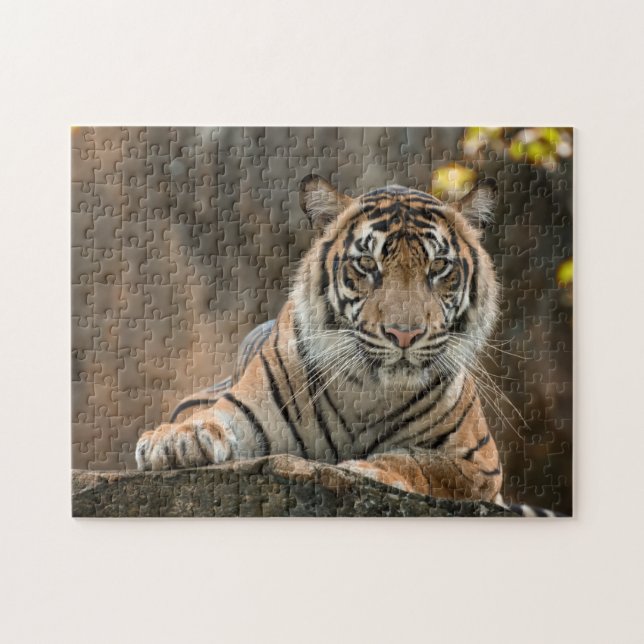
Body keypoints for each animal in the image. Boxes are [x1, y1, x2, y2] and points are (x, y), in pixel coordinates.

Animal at [135, 174, 552, 513]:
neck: (367, 391)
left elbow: (418, 463)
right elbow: (210, 417)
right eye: (367, 264)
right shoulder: (246, 407)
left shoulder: (479, 463)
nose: (404, 333)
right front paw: (173, 441)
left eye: (438, 268)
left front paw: (363, 470)